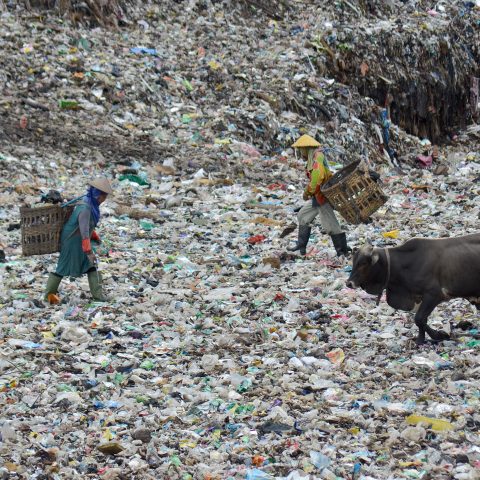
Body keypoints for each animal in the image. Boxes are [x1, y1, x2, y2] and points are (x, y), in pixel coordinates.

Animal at [344, 233, 480, 344]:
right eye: (354, 261)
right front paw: (421, 339)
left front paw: (439, 335)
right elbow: (422, 321)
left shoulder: (434, 294)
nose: (349, 283)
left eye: (363, 263)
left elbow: (419, 319)